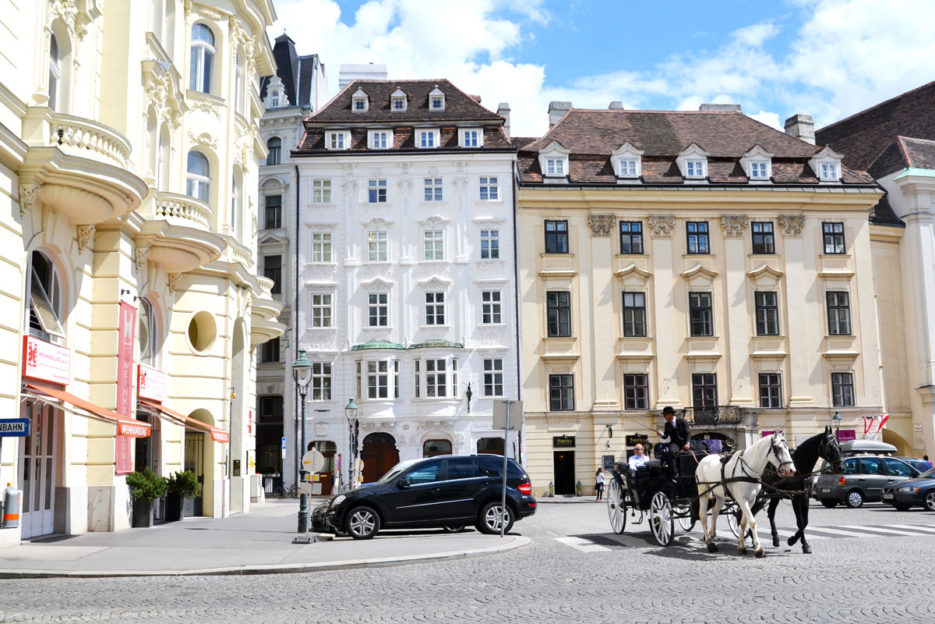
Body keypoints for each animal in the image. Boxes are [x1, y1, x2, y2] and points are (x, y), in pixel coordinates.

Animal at [700, 432, 792, 560]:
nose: (791, 470)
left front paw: (741, 547)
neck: (748, 471)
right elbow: (752, 522)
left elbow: (744, 523)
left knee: (714, 513)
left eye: (787, 448)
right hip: (703, 492)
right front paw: (758, 548)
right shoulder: (742, 500)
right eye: (778, 448)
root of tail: (703, 459)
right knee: (703, 516)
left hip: (720, 496)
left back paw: (711, 534)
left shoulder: (751, 500)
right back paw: (709, 543)